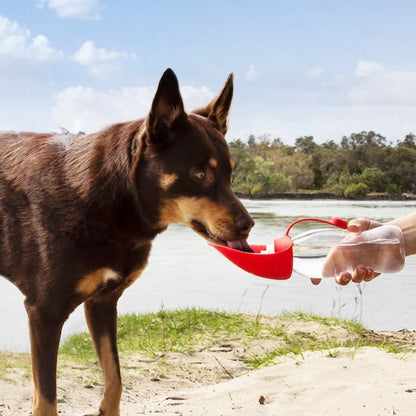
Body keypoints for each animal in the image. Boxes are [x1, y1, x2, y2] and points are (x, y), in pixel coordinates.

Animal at [0, 70, 254, 414]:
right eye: (199, 174)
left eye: (229, 174)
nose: (248, 226)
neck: (110, 200)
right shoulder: (45, 312)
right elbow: (47, 400)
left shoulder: (103, 302)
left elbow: (115, 380)